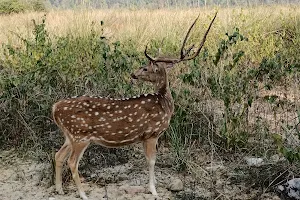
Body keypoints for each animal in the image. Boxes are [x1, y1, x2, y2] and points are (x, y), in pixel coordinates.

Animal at [52, 12, 217, 200]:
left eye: (145, 68)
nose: (133, 74)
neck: (164, 103)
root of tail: (54, 108)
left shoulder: (145, 137)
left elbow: (148, 160)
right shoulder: (152, 133)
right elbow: (152, 161)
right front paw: (154, 190)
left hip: (70, 136)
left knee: (58, 155)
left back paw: (59, 189)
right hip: (80, 135)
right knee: (72, 162)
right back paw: (83, 194)